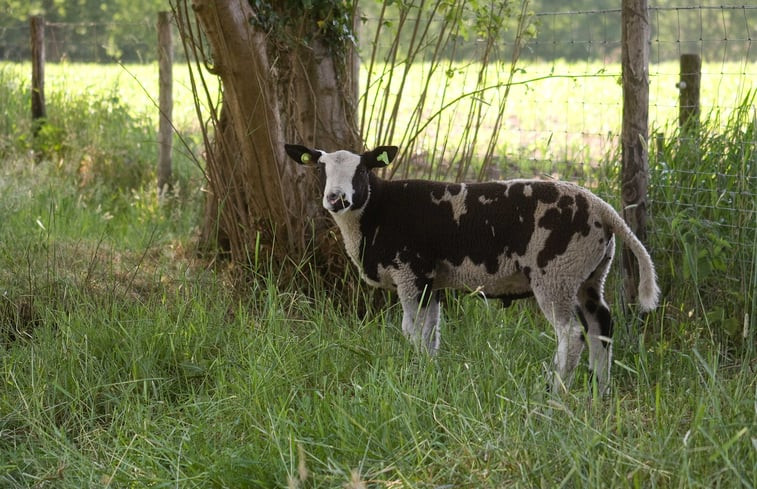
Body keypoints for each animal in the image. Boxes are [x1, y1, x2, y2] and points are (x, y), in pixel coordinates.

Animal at [286, 143, 660, 394]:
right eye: (320, 169)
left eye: (362, 170)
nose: (336, 198)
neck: (375, 212)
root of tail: (603, 209)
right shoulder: (430, 282)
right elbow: (431, 334)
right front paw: (429, 375)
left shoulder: (410, 272)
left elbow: (411, 331)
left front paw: (414, 379)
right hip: (589, 275)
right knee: (601, 325)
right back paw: (599, 394)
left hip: (557, 273)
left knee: (571, 335)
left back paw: (555, 394)